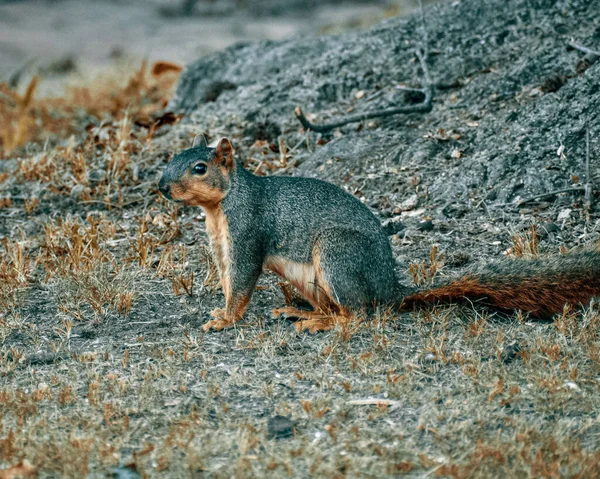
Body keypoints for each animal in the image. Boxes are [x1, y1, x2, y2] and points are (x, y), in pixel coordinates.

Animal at [158, 135, 600, 334]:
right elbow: (226, 277)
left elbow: (243, 279)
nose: (162, 186)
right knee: (342, 309)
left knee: (358, 314)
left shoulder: (248, 230)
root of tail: (390, 288)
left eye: (199, 168)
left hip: (337, 253)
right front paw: (220, 311)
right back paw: (302, 312)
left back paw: (319, 323)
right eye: (171, 158)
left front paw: (226, 319)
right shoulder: (220, 242)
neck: (219, 207)